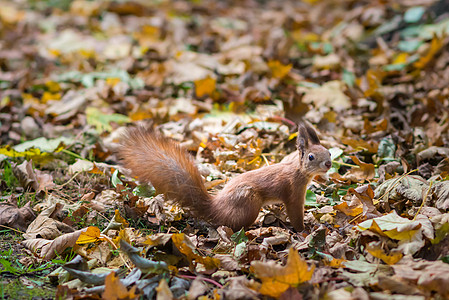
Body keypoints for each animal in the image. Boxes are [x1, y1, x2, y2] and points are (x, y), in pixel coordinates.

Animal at [117, 122, 330, 232]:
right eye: (311, 157)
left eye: (329, 152)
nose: (328, 164)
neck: (298, 170)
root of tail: (216, 208)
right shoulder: (293, 191)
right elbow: (295, 213)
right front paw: (304, 230)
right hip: (249, 202)